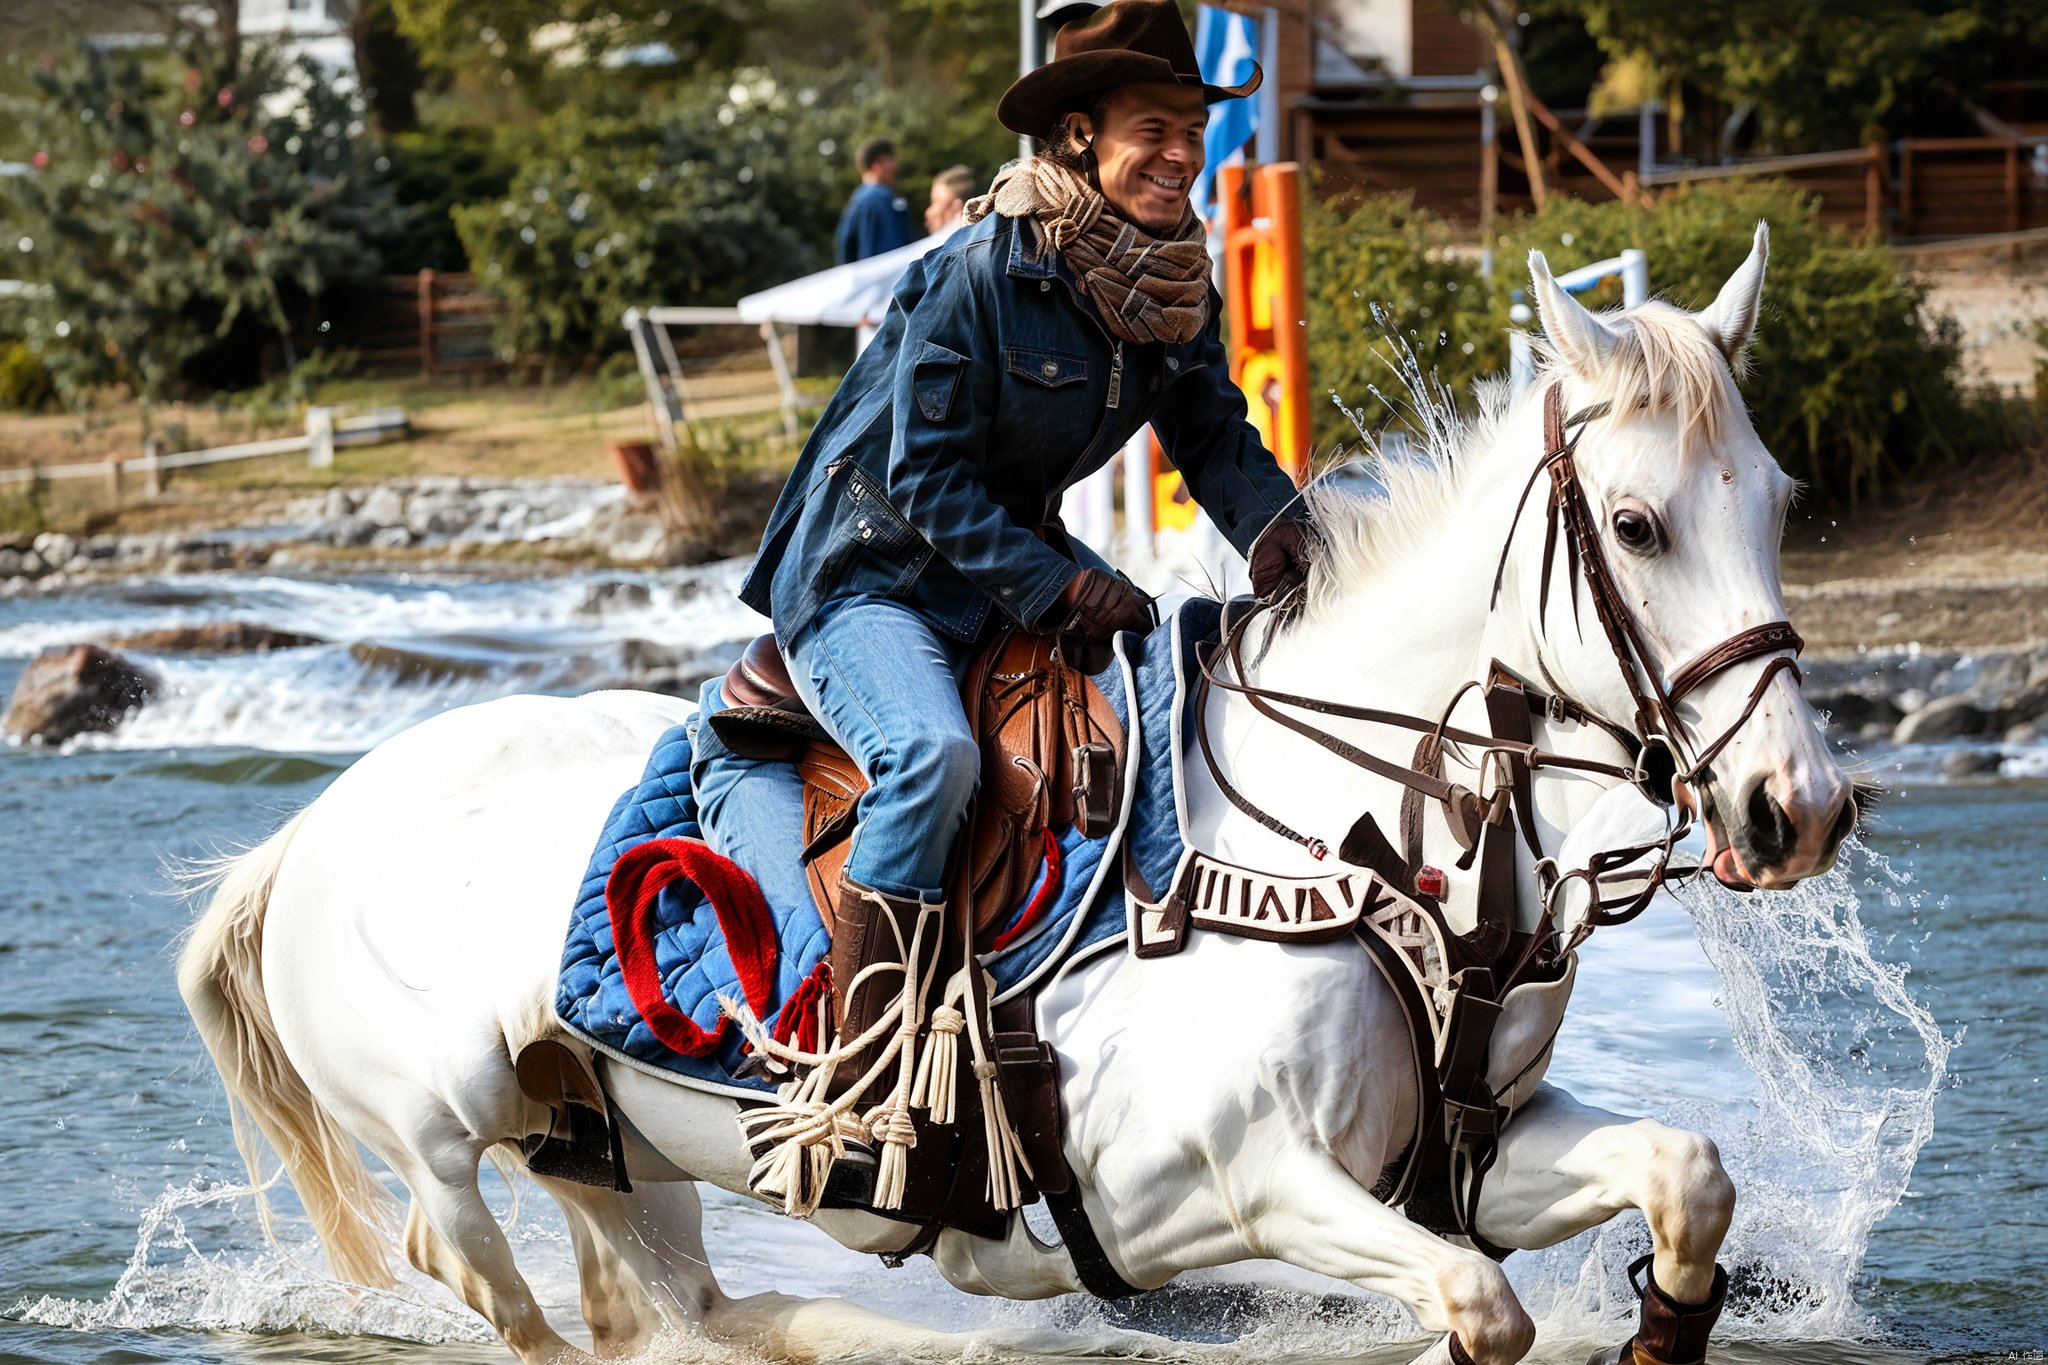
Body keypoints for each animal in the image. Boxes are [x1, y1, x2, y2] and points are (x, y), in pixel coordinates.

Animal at [180, 229, 1859, 1358]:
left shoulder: (1470, 1153)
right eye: (1635, 525)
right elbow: (1478, 1303)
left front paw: (1667, 1322)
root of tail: (306, 833)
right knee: (484, 1269)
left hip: (598, 1135)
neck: (1350, 843)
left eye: (1782, 501)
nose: (1797, 809)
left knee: (662, 1299)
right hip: (445, 1122)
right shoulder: (1211, 1185)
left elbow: (1687, 1178)